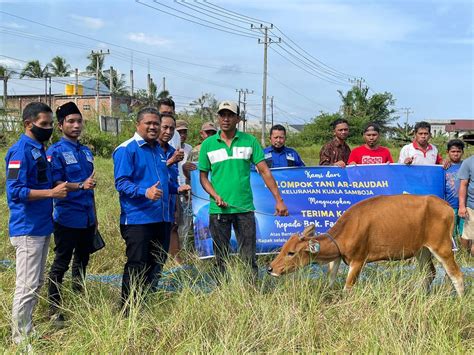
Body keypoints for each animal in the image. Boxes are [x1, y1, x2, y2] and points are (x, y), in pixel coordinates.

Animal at [268, 195, 464, 298]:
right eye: (282, 248)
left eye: (291, 252)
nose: (270, 269)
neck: (349, 227)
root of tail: (446, 206)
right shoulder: (338, 258)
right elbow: (330, 280)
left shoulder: (358, 261)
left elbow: (347, 288)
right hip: (422, 250)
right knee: (429, 273)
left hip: (442, 247)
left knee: (456, 275)